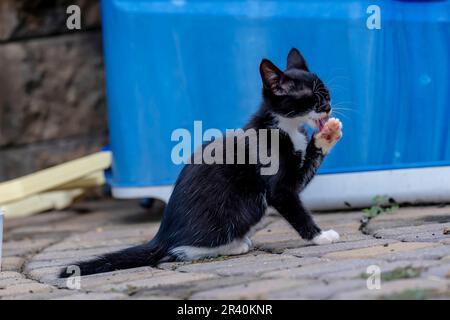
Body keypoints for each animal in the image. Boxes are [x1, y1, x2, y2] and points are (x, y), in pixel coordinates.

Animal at [59, 48, 342, 278]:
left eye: (327, 93)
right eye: (314, 98)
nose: (329, 106)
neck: (285, 127)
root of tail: (162, 235)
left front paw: (327, 135)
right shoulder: (277, 186)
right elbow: (292, 205)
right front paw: (320, 236)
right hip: (240, 209)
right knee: (178, 251)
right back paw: (233, 245)